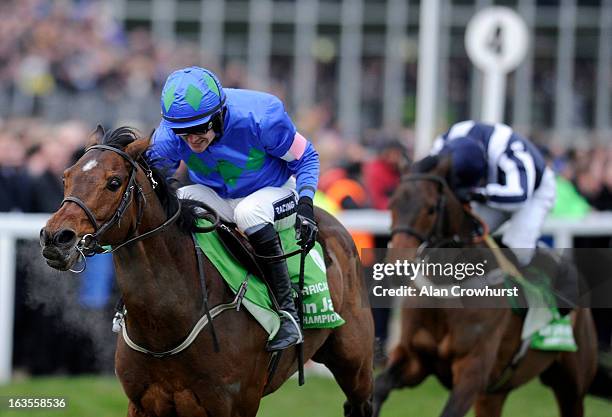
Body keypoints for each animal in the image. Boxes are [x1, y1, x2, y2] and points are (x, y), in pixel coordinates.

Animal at [39, 127, 372, 416]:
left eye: (114, 182)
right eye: (66, 176)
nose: (56, 238)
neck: (164, 329)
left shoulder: (234, 406)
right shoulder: (142, 405)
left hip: (355, 363)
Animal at [372, 155, 596, 416]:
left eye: (430, 208)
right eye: (392, 205)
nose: (396, 265)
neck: (446, 290)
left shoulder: (473, 371)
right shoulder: (415, 359)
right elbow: (379, 387)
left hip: (571, 385)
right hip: (494, 394)